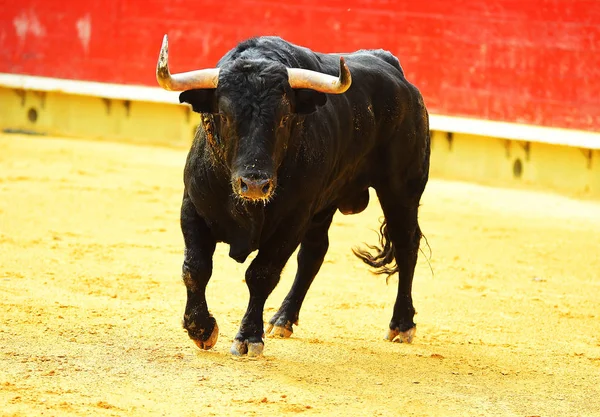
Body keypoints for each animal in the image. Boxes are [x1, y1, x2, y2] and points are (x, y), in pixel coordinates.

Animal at [158, 35, 432, 354]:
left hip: (401, 190)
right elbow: (196, 268)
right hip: (325, 204)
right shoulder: (193, 208)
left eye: (284, 118)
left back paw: (402, 324)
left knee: (406, 246)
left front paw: (248, 337)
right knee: (314, 252)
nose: (254, 184)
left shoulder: (292, 221)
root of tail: (393, 69)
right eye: (224, 116)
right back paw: (283, 318)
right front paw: (200, 329)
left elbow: (261, 274)